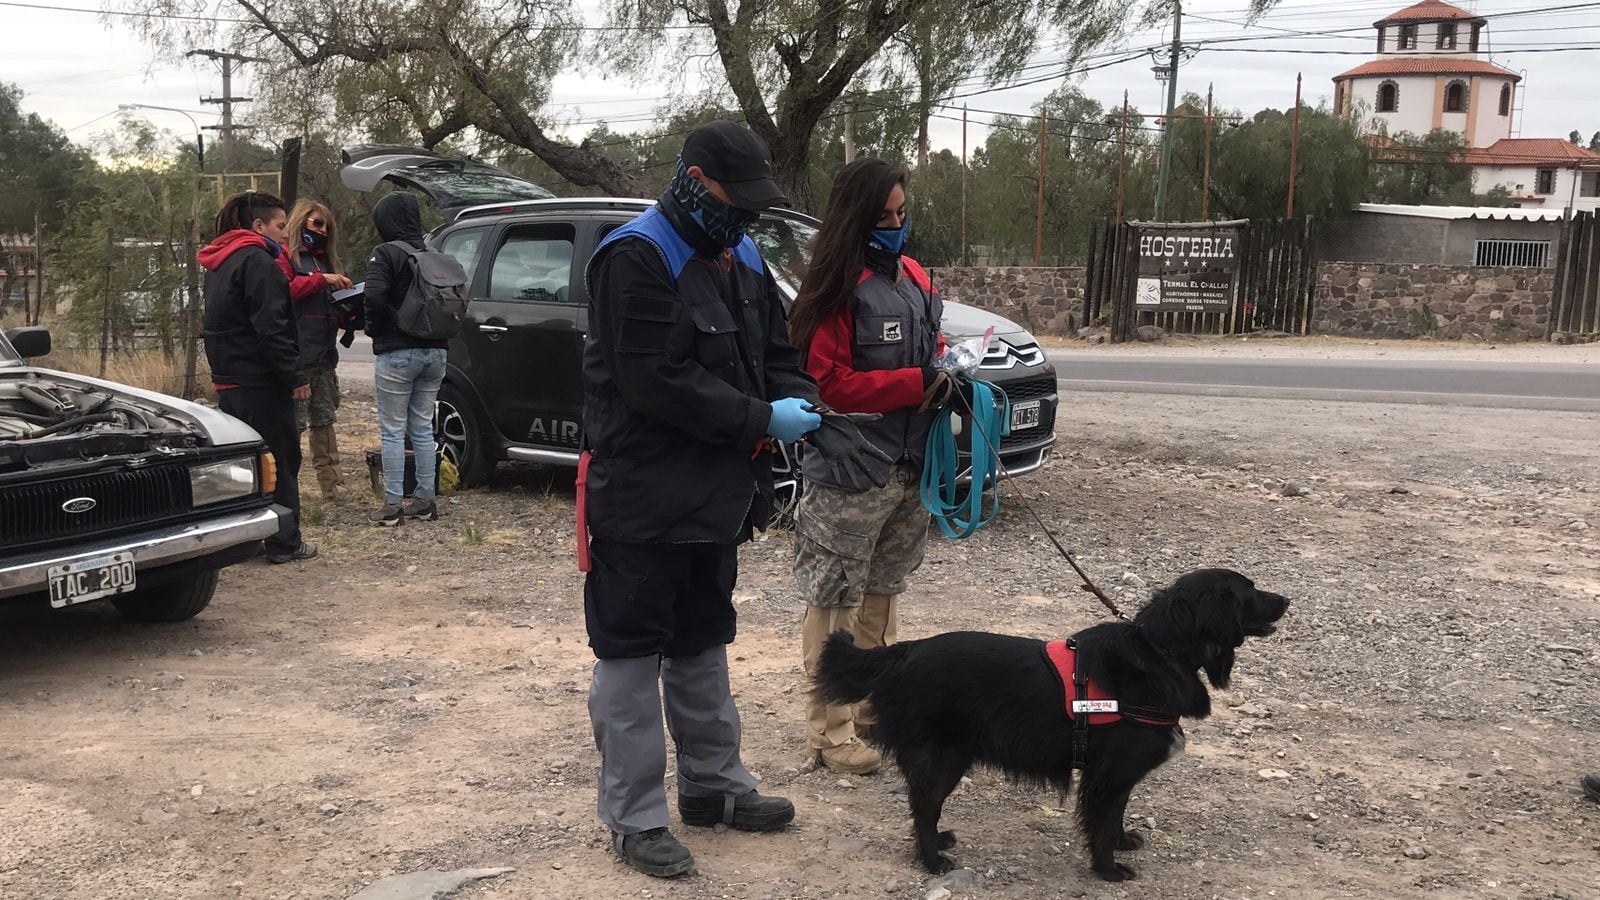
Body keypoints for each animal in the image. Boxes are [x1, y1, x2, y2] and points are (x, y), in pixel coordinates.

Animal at [812, 566, 1286, 877]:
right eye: (1250, 590)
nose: (1287, 600)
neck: (1158, 651)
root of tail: (903, 651)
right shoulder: (1110, 773)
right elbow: (1102, 820)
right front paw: (1108, 868)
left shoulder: (1115, 774)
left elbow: (1117, 814)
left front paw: (1122, 843)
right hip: (943, 757)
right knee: (924, 806)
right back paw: (932, 860)